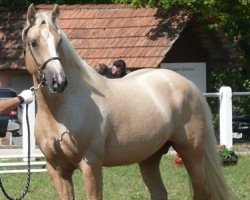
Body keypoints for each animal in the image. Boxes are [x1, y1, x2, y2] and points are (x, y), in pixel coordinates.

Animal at [22, 3, 237, 199]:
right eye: (34, 42)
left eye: (59, 41)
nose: (58, 82)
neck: (60, 112)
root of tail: (189, 84)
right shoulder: (57, 169)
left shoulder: (91, 164)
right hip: (150, 157)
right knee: (159, 192)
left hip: (192, 153)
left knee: (202, 191)